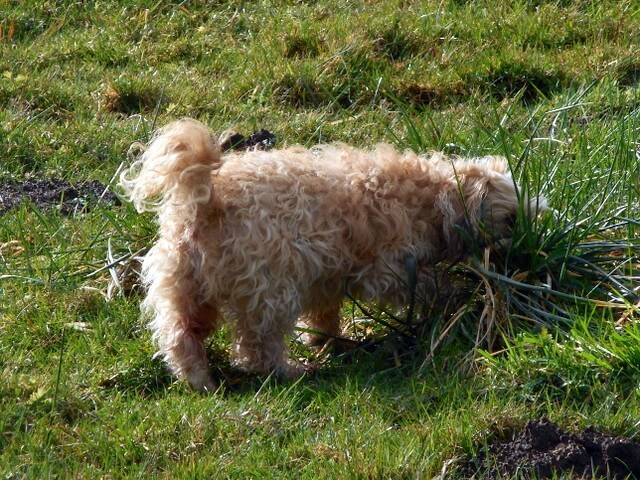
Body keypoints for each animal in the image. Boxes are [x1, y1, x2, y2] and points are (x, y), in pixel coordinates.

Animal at [119, 118, 540, 392]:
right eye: (510, 218)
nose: (531, 253)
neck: (428, 195)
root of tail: (205, 200)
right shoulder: (388, 270)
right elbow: (430, 284)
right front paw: (455, 296)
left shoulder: (327, 276)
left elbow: (325, 313)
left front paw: (327, 339)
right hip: (270, 290)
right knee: (257, 347)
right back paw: (290, 372)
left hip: (186, 287)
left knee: (180, 336)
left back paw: (199, 379)